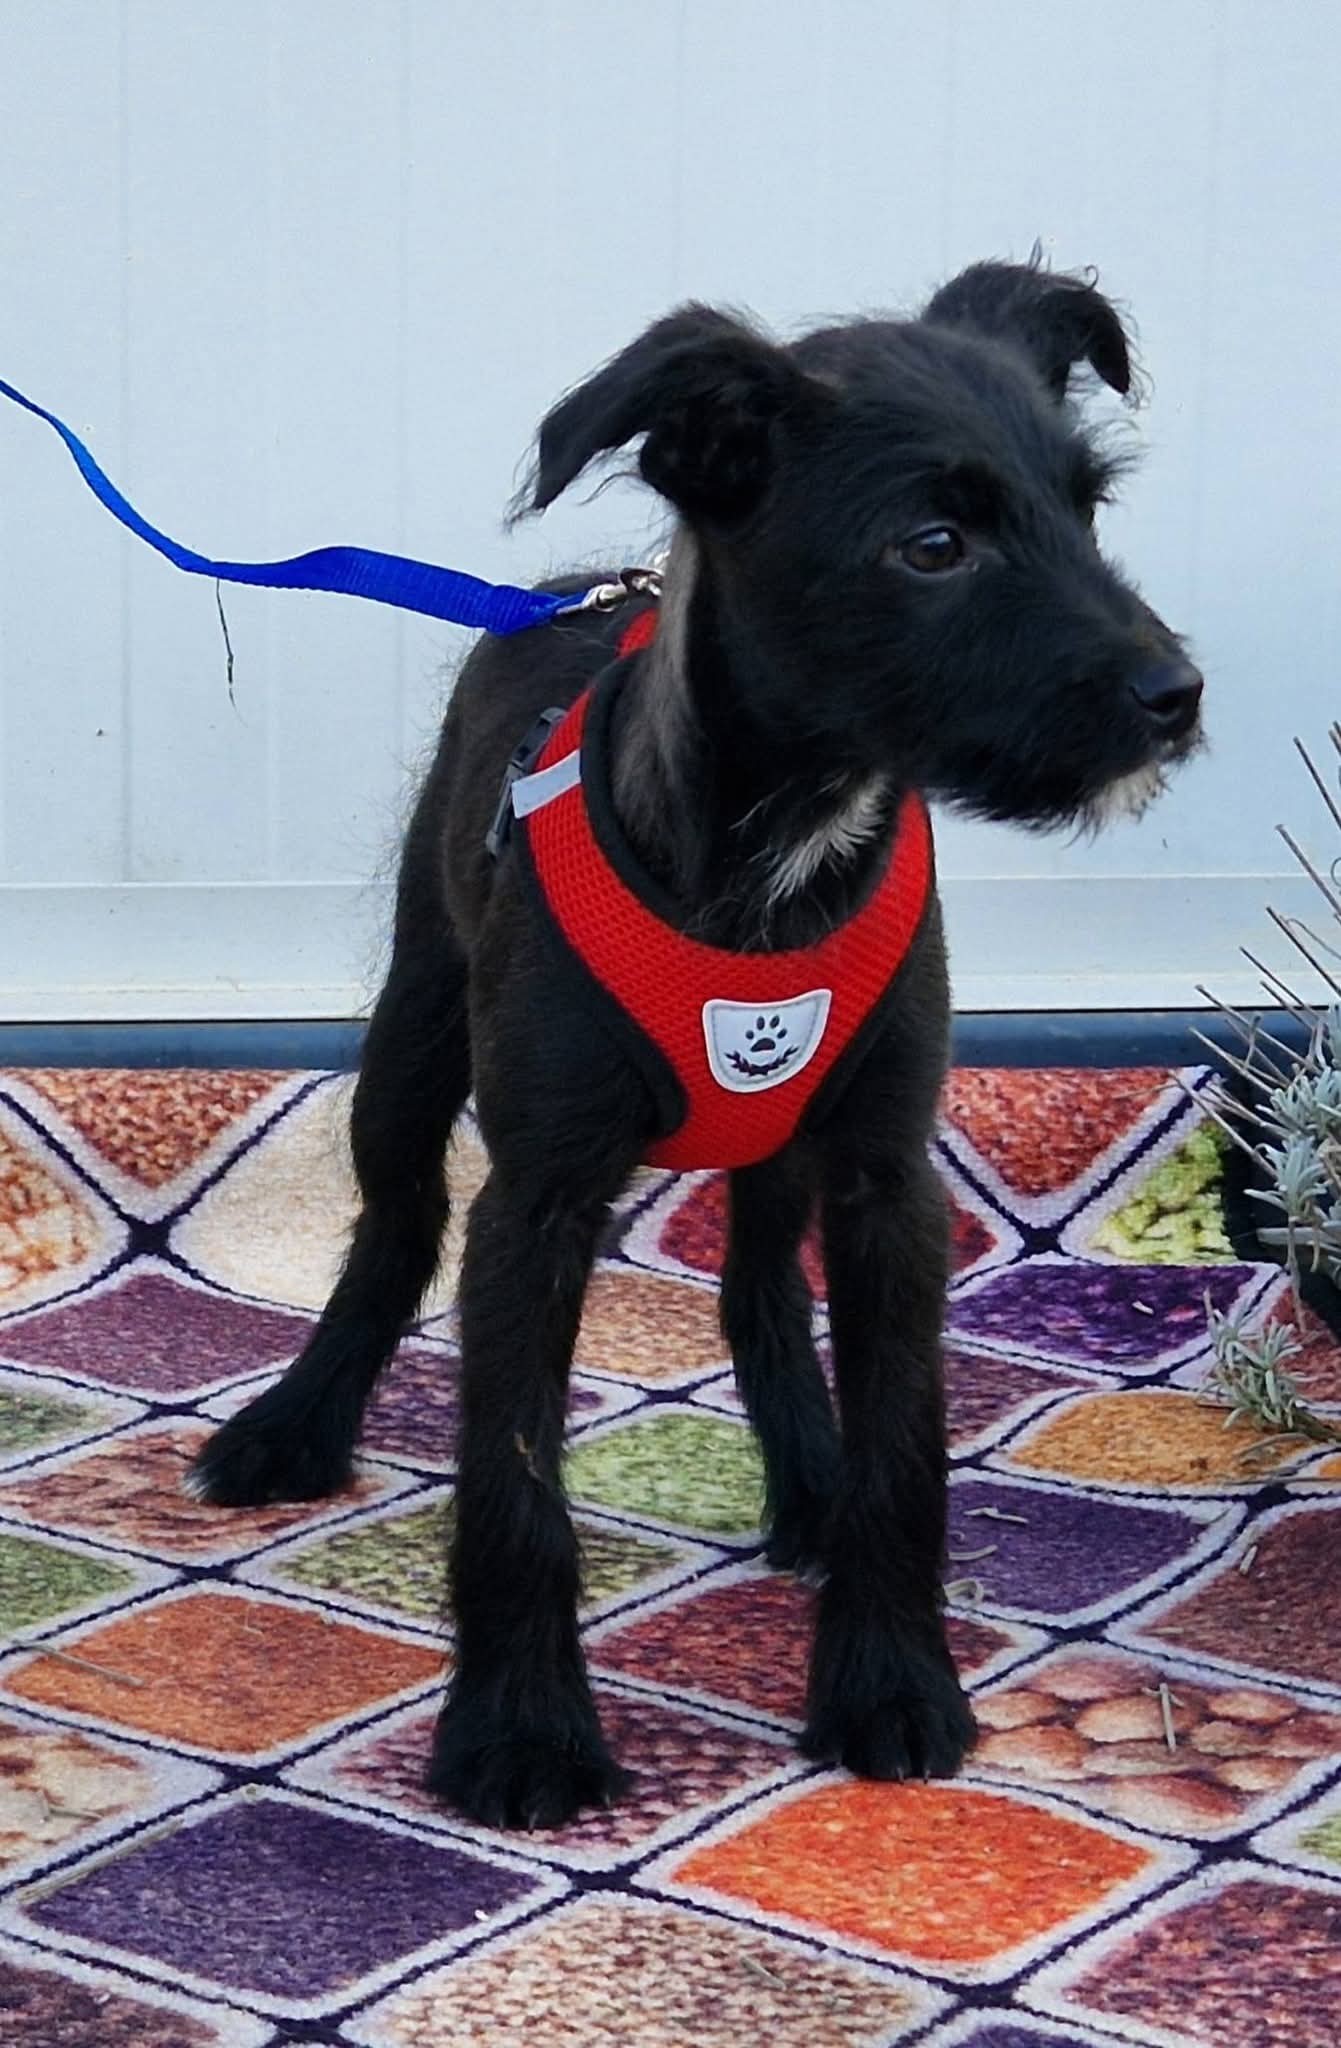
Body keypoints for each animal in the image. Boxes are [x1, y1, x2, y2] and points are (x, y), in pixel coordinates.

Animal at [191, 258, 1203, 1829]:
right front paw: (520, 1728)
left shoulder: (887, 1178)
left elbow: (905, 1446)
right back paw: (299, 1420)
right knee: (395, 1229)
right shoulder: (537, 1199)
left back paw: (807, 1474)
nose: (1175, 697)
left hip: (781, 1136)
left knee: (755, 1287)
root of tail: (571, 588)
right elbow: (513, 1477)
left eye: (1087, 507)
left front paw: (888, 1678)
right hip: (413, 1032)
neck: (777, 853)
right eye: (933, 545)